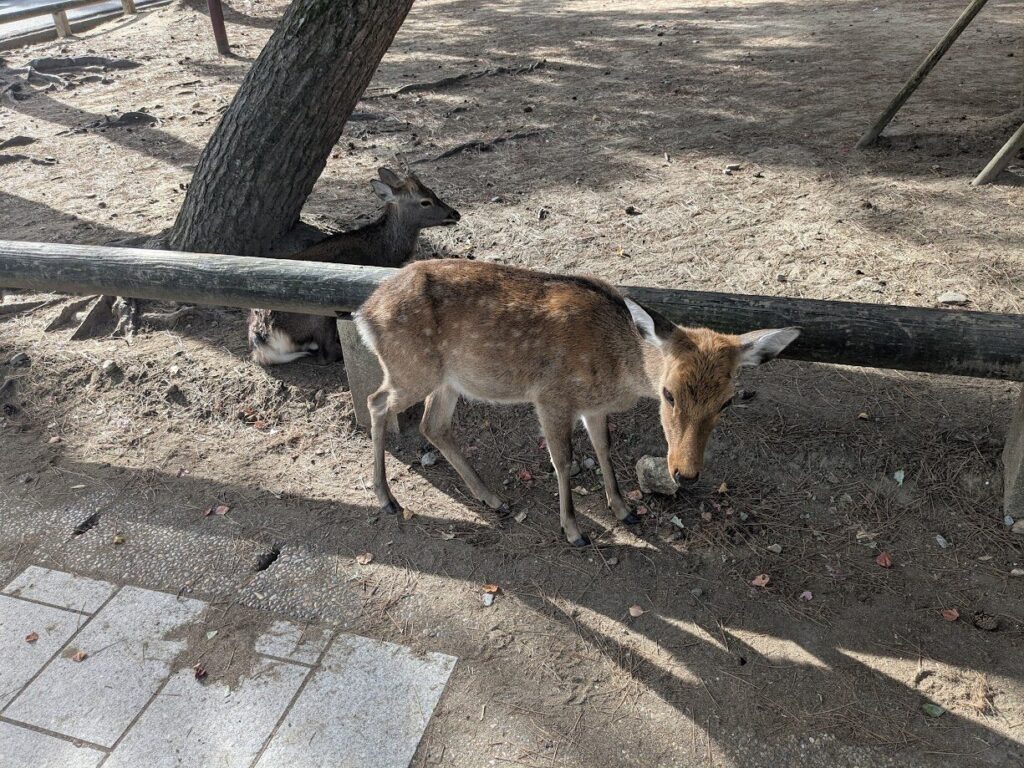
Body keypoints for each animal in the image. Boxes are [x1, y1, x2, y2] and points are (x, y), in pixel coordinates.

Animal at [248, 168, 461, 366]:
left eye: (432, 191)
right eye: (425, 201)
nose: (455, 213)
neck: (385, 252)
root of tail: (264, 341)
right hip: (317, 313)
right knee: (325, 354)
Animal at [355, 259, 800, 546]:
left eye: (727, 402)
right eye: (668, 392)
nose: (685, 473)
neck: (616, 371)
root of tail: (363, 313)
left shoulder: (592, 407)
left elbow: (604, 449)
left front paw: (623, 509)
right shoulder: (551, 396)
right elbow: (564, 459)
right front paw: (574, 531)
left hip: (447, 379)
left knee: (433, 423)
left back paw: (493, 498)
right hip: (411, 369)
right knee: (376, 401)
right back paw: (387, 499)